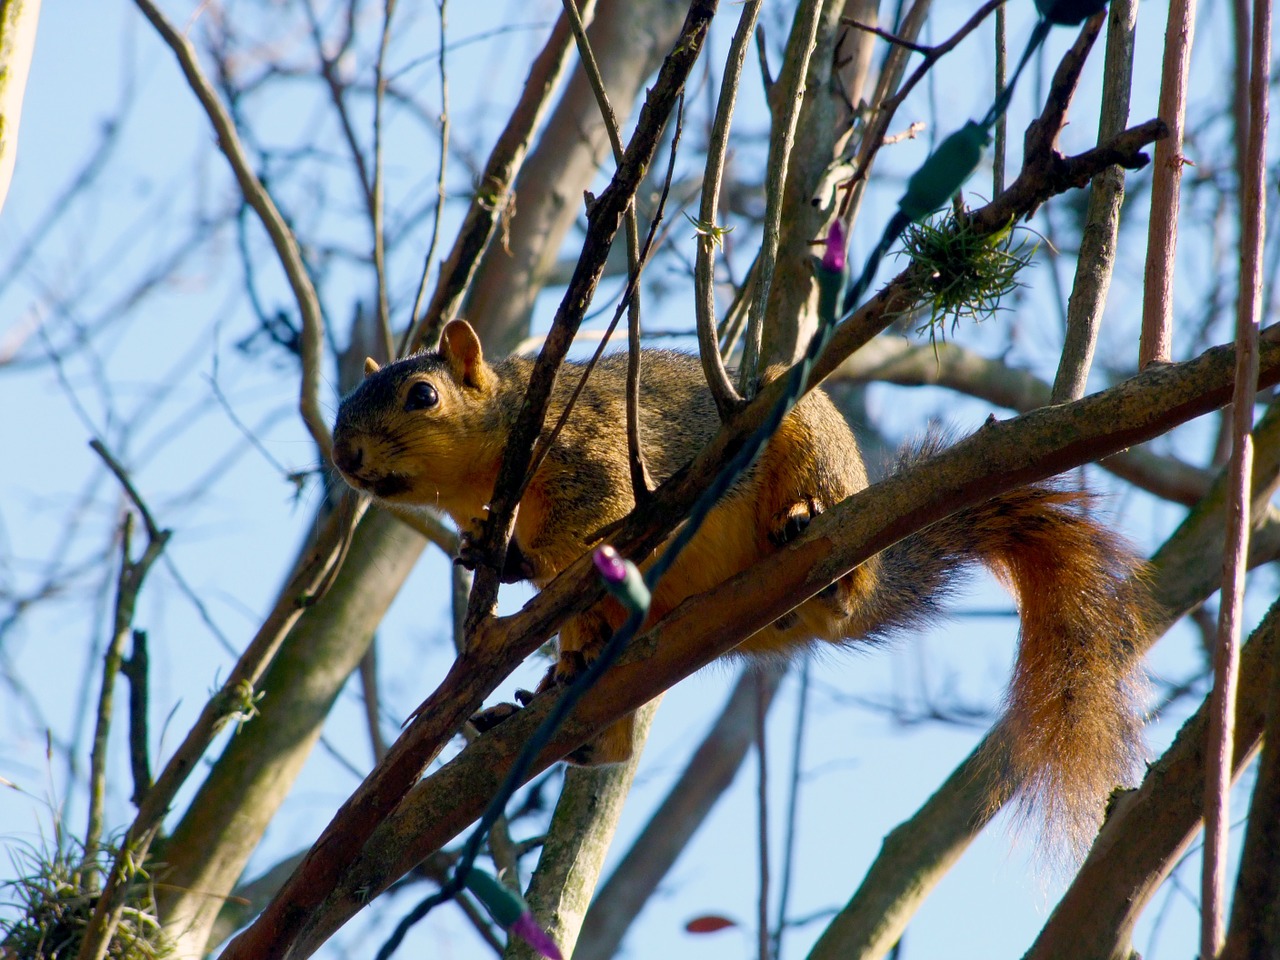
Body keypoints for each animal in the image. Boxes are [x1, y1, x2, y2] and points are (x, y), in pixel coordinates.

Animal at [330, 317, 1152, 849]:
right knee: (611, 715)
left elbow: (597, 520)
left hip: (807, 439)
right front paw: (488, 556)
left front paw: (541, 575)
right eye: (341, 407)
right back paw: (561, 696)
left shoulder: (589, 447)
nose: (345, 457)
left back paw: (812, 534)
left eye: (424, 395)